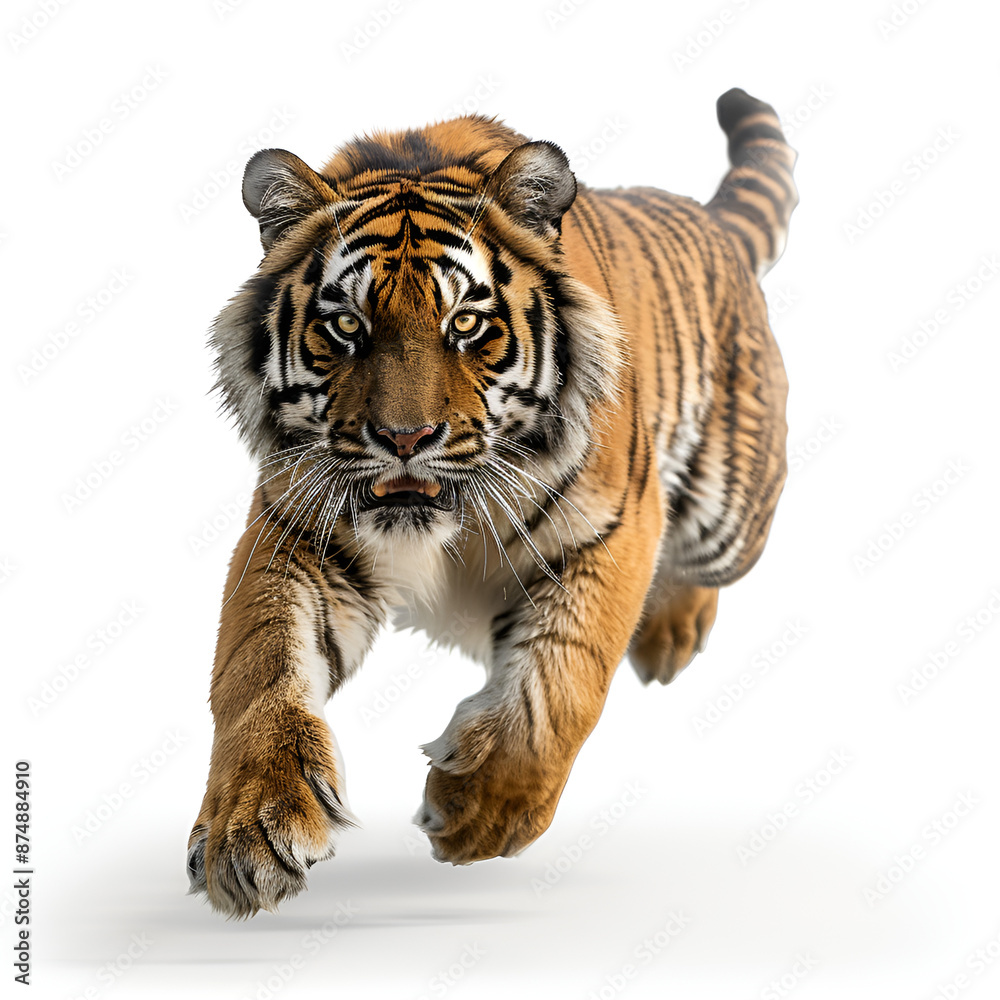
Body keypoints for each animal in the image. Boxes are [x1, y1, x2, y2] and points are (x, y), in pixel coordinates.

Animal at [186, 87, 798, 918]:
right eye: (345, 325)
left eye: (466, 323)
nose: (404, 437)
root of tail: (709, 221)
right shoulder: (296, 530)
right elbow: (254, 664)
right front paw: (246, 829)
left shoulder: (613, 528)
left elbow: (565, 678)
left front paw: (478, 810)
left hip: (729, 516)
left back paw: (672, 630)